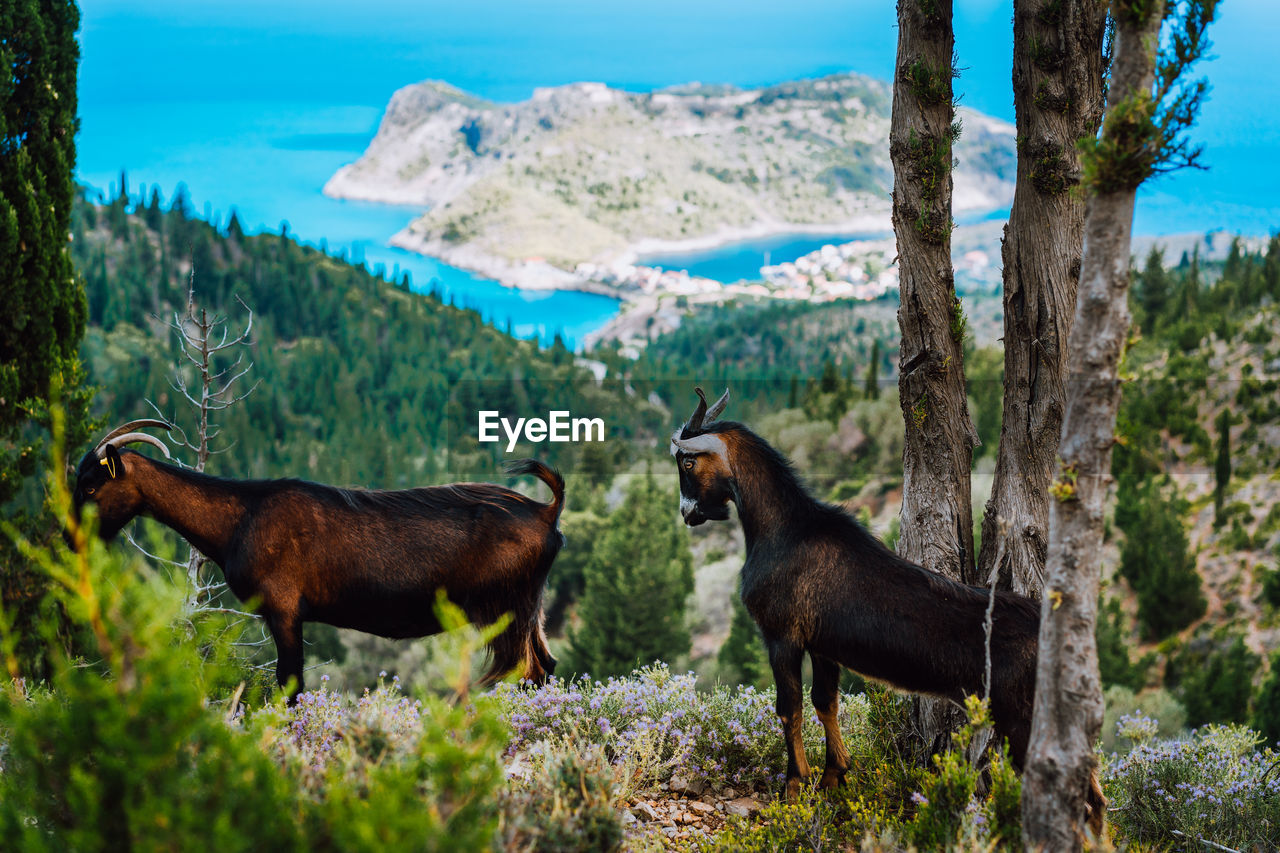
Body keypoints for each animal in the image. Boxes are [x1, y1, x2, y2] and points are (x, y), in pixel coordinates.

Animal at [73, 417, 565, 691]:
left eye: (92, 485)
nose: (70, 535)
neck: (242, 516)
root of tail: (546, 513)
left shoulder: (284, 609)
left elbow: (290, 684)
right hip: (529, 610)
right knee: (546, 666)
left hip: (506, 609)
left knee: (528, 673)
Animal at [670, 389, 1100, 829]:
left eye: (687, 461)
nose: (688, 513)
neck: (784, 529)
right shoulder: (823, 646)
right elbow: (825, 702)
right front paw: (833, 777)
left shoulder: (781, 635)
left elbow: (789, 709)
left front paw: (793, 789)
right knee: (1094, 793)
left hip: (1021, 712)